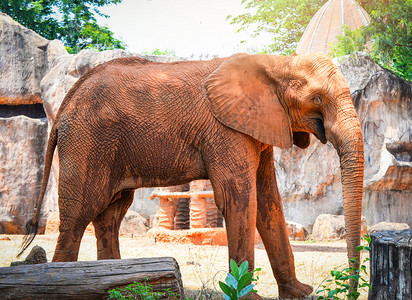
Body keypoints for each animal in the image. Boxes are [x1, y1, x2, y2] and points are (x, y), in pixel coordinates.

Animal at [21, 52, 364, 298]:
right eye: (317, 99)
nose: (349, 292)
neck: (277, 63)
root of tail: (63, 107)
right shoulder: (226, 131)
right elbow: (240, 200)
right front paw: (248, 297)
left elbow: (270, 202)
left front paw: (300, 293)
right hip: (87, 142)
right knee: (78, 216)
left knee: (110, 215)